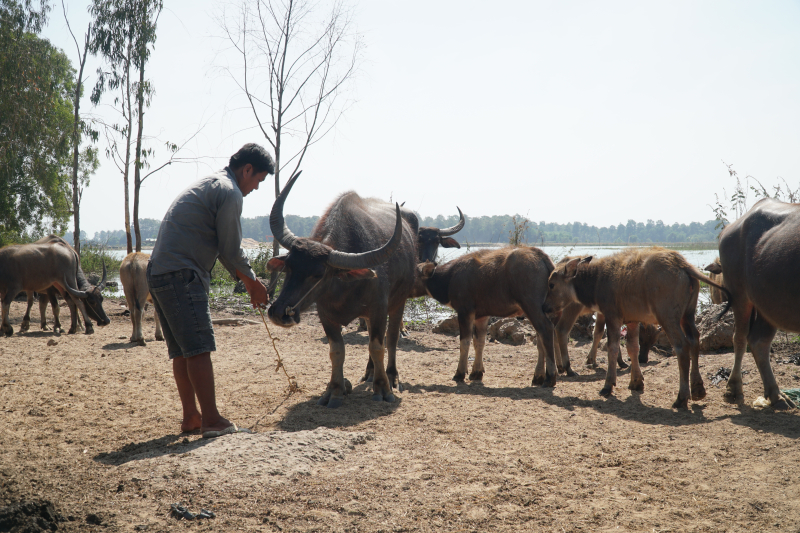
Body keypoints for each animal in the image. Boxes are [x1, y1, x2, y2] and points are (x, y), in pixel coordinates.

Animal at [266, 175, 416, 408]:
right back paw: (370, 372)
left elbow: (378, 346)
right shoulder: (326, 315)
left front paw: (383, 389)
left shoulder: (379, 309)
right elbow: (337, 351)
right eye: (289, 266)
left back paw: (391, 375)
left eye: (318, 274)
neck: (344, 288)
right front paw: (334, 391)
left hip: (399, 302)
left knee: (390, 339)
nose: (279, 313)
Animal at [412, 245, 556, 386]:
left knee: (546, 330)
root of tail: (541, 256)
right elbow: (479, 342)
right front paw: (476, 372)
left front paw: (460, 373)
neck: (450, 278)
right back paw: (538, 376)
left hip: (531, 306)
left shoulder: (465, 312)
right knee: (540, 338)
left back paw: (550, 377)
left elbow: (465, 342)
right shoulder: (481, 316)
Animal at [544, 246, 732, 408]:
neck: (597, 279)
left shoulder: (612, 316)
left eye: (551, 284)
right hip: (687, 316)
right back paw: (698, 389)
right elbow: (632, 348)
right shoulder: (632, 321)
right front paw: (636, 382)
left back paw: (681, 397)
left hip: (668, 318)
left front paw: (608, 385)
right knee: (694, 340)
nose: (545, 306)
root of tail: (682, 264)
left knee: (681, 346)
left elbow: (612, 348)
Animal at [716, 197, 800, 410]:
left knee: (758, 341)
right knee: (740, 338)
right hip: (739, 294)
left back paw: (776, 395)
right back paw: (734, 389)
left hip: (767, 303)